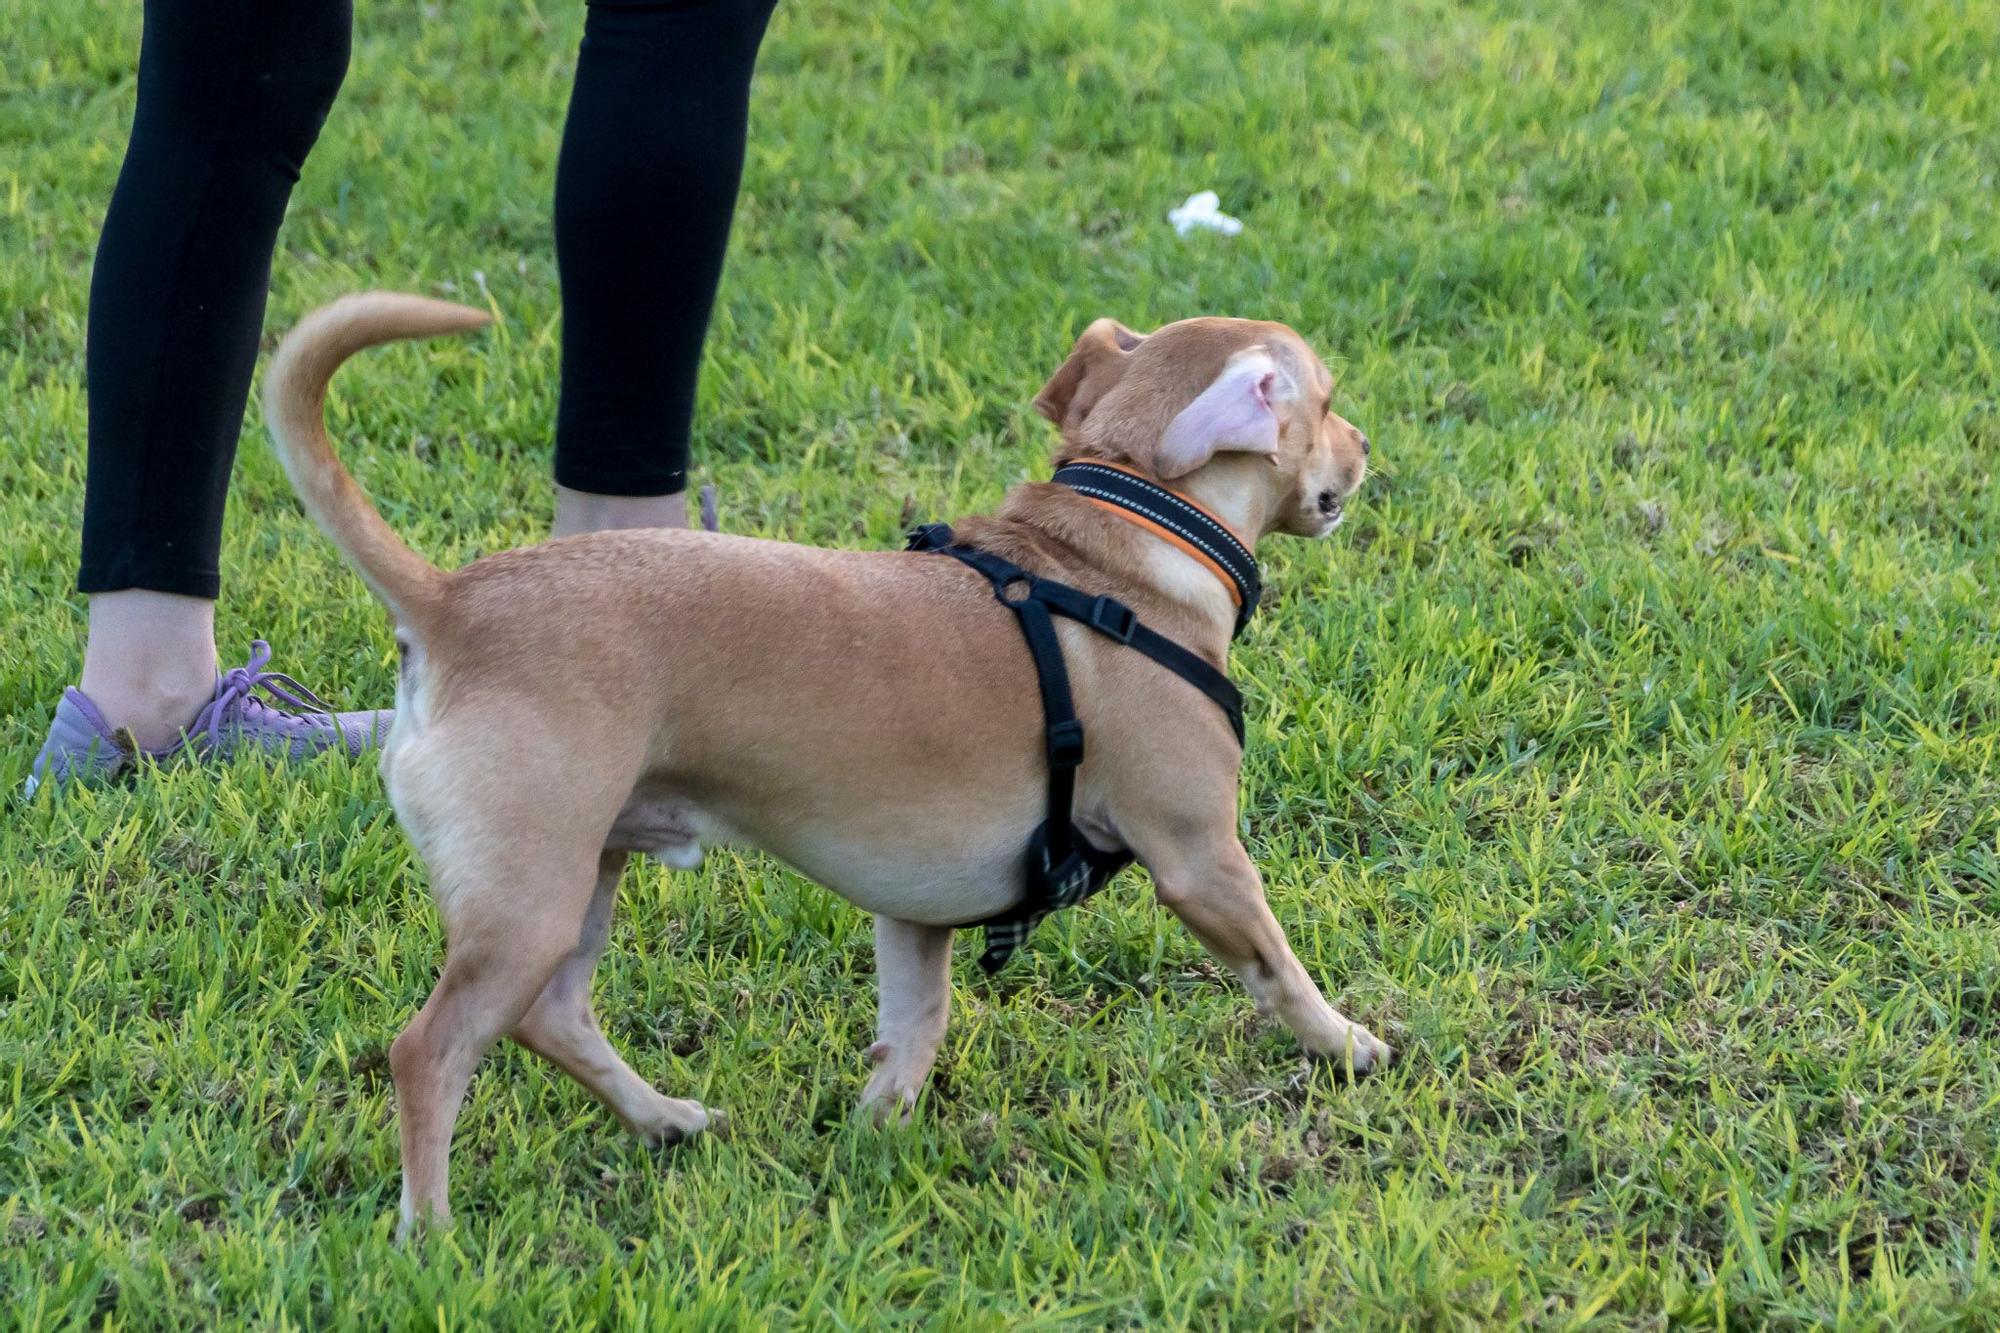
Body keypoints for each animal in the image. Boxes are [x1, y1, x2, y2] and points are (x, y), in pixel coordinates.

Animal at [262, 294, 1392, 1232]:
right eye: (1328, 400)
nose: (1367, 441)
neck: (1122, 547)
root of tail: (451, 604)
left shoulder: (916, 912)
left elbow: (916, 1023)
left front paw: (875, 1134)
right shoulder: (1203, 861)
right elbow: (1276, 967)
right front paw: (1346, 1044)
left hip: (582, 879)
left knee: (554, 1014)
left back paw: (662, 1118)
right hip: (529, 898)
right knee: (431, 1052)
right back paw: (429, 1233)